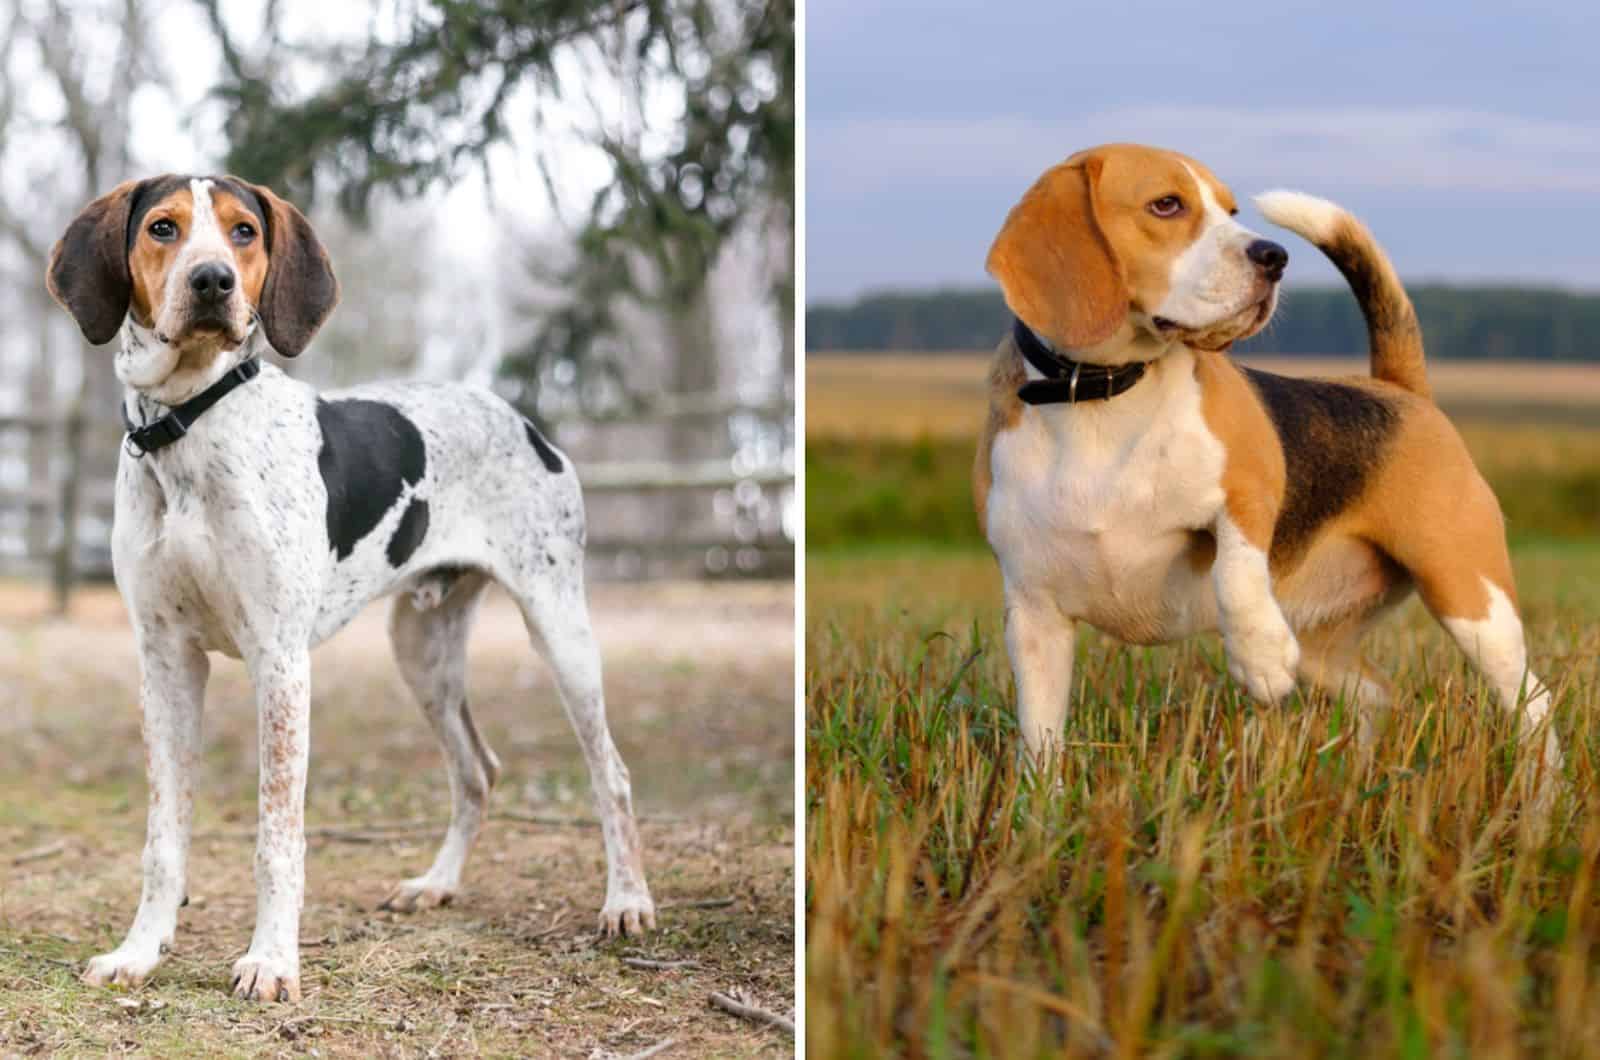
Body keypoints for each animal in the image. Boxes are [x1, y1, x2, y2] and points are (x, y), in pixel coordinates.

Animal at [48, 176, 656, 1005]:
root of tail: (522, 419)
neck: (190, 423)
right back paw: (436, 884)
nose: (213, 282)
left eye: (243, 231)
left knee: (612, 774)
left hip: (559, 629)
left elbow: (278, 837)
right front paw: (140, 952)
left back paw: (627, 901)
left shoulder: (279, 662)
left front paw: (271, 961)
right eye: (163, 228)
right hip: (421, 651)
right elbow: (163, 837)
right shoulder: (166, 660)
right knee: (477, 770)